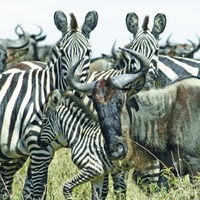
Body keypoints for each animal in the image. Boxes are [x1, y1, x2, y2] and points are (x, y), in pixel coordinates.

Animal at [0, 9, 97, 198]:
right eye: (62, 52)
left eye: (88, 53)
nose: (73, 87)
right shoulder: (39, 149)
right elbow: (38, 191)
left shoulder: (45, 150)